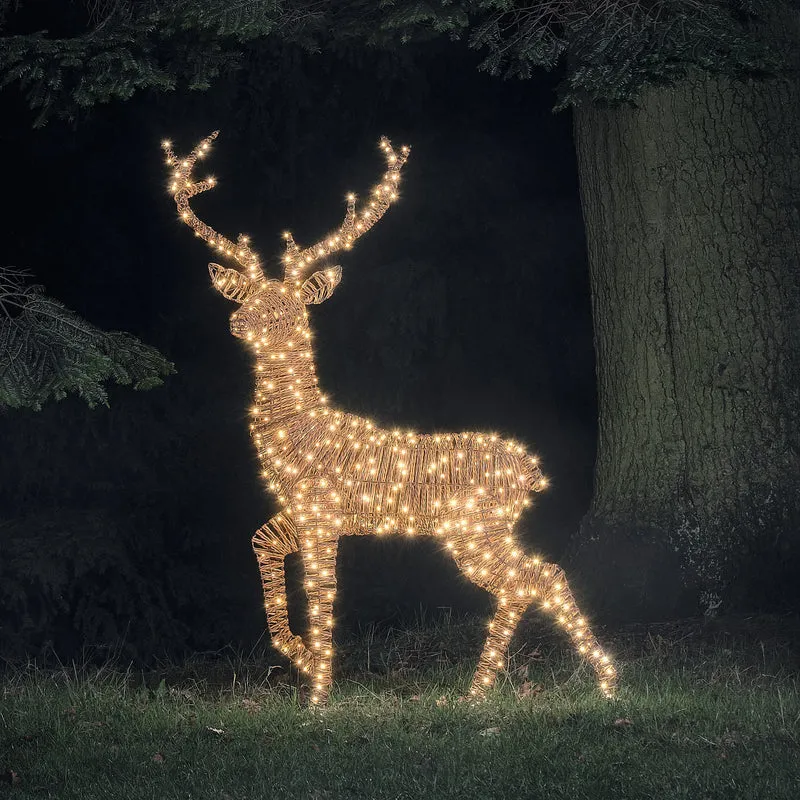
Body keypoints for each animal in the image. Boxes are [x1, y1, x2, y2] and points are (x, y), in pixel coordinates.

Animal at [163, 131, 618, 706]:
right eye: (250, 295)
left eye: (289, 305)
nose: (238, 321)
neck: (299, 430)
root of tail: (531, 471)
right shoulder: (301, 513)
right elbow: (260, 543)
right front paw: (302, 658)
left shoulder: (323, 513)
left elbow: (322, 595)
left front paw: (319, 694)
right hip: (479, 528)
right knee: (535, 577)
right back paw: (497, 689)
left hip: (474, 526)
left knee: (536, 576)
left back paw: (585, 681)